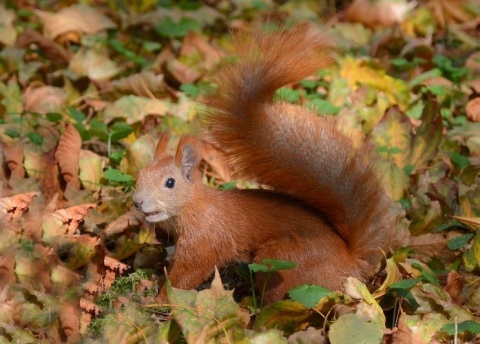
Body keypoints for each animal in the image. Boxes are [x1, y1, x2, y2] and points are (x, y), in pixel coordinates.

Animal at [133, 23, 396, 304]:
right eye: (140, 174)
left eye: (170, 183)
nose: (137, 202)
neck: (196, 206)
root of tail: (351, 267)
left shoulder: (204, 241)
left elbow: (187, 275)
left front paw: (158, 299)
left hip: (282, 260)